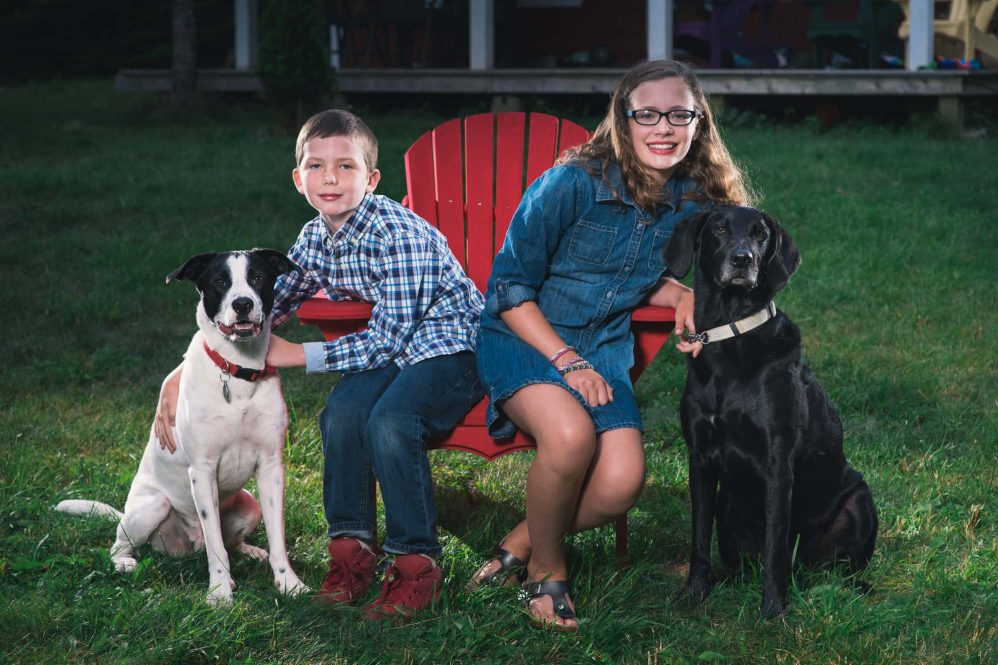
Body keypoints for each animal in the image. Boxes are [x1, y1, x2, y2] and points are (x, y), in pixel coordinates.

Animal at [668, 206, 880, 616]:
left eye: (761, 234)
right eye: (719, 229)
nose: (742, 259)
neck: (731, 332)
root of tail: (806, 567)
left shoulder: (777, 463)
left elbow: (775, 546)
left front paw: (773, 610)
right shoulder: (699, 458)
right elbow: (698, 536)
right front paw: (695, 591)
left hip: (860, 500)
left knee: (840, 566)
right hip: (727, 506)